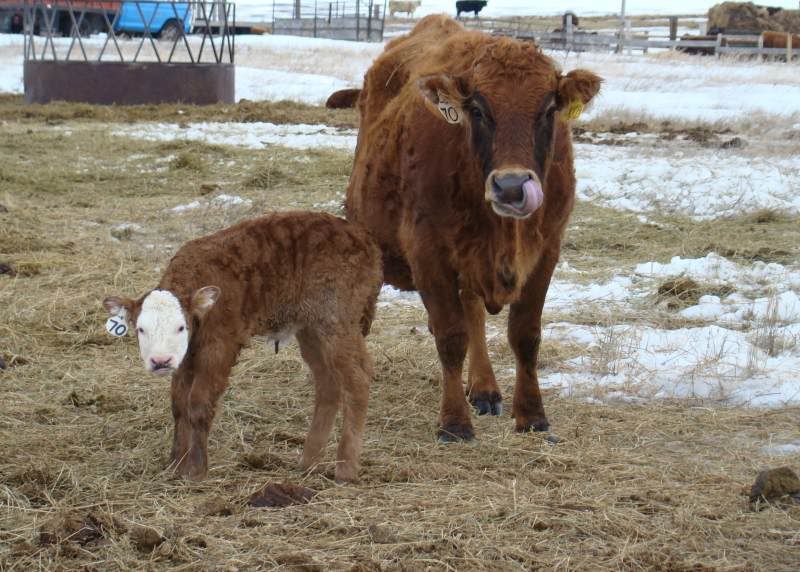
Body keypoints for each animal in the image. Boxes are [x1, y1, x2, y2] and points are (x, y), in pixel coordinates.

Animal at [103, 212, 382, 482]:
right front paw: (175, 465)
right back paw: (309, 463)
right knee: (327, 380)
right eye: (140, 329)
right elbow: (179, 404)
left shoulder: (220, 345)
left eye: (181, 327)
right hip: (310, 326)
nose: (160, 361)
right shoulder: (186, 356)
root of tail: (363, 238)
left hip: (337, 317)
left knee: (357, 377)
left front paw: (196, 470)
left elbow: (198, 403)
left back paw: (346, 469)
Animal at [340, 15, 601, 442]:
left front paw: (532, 415)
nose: (511, 186)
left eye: (548, 109)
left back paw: (484, 388)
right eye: (478, 109)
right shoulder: (427, 250)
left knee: (474, 311)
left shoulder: (547, 249)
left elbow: (525, 335)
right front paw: (454, 422)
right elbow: (450, 335)